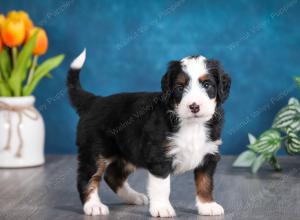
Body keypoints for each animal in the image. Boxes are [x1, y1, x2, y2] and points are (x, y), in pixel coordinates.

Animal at [67, 49, 232, 217]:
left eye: (207, 84)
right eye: (180, 87)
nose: (194, 106)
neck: (191, 125)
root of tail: (94, 101)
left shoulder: (209, 154)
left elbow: (205, 182)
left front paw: (208, 205)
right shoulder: (159, 157)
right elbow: (162, 186)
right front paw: (162, 208)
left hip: (128, 153)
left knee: (113, 176)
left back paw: (134, 197)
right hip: (95, 151)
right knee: (87, 178)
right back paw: (94, 205)